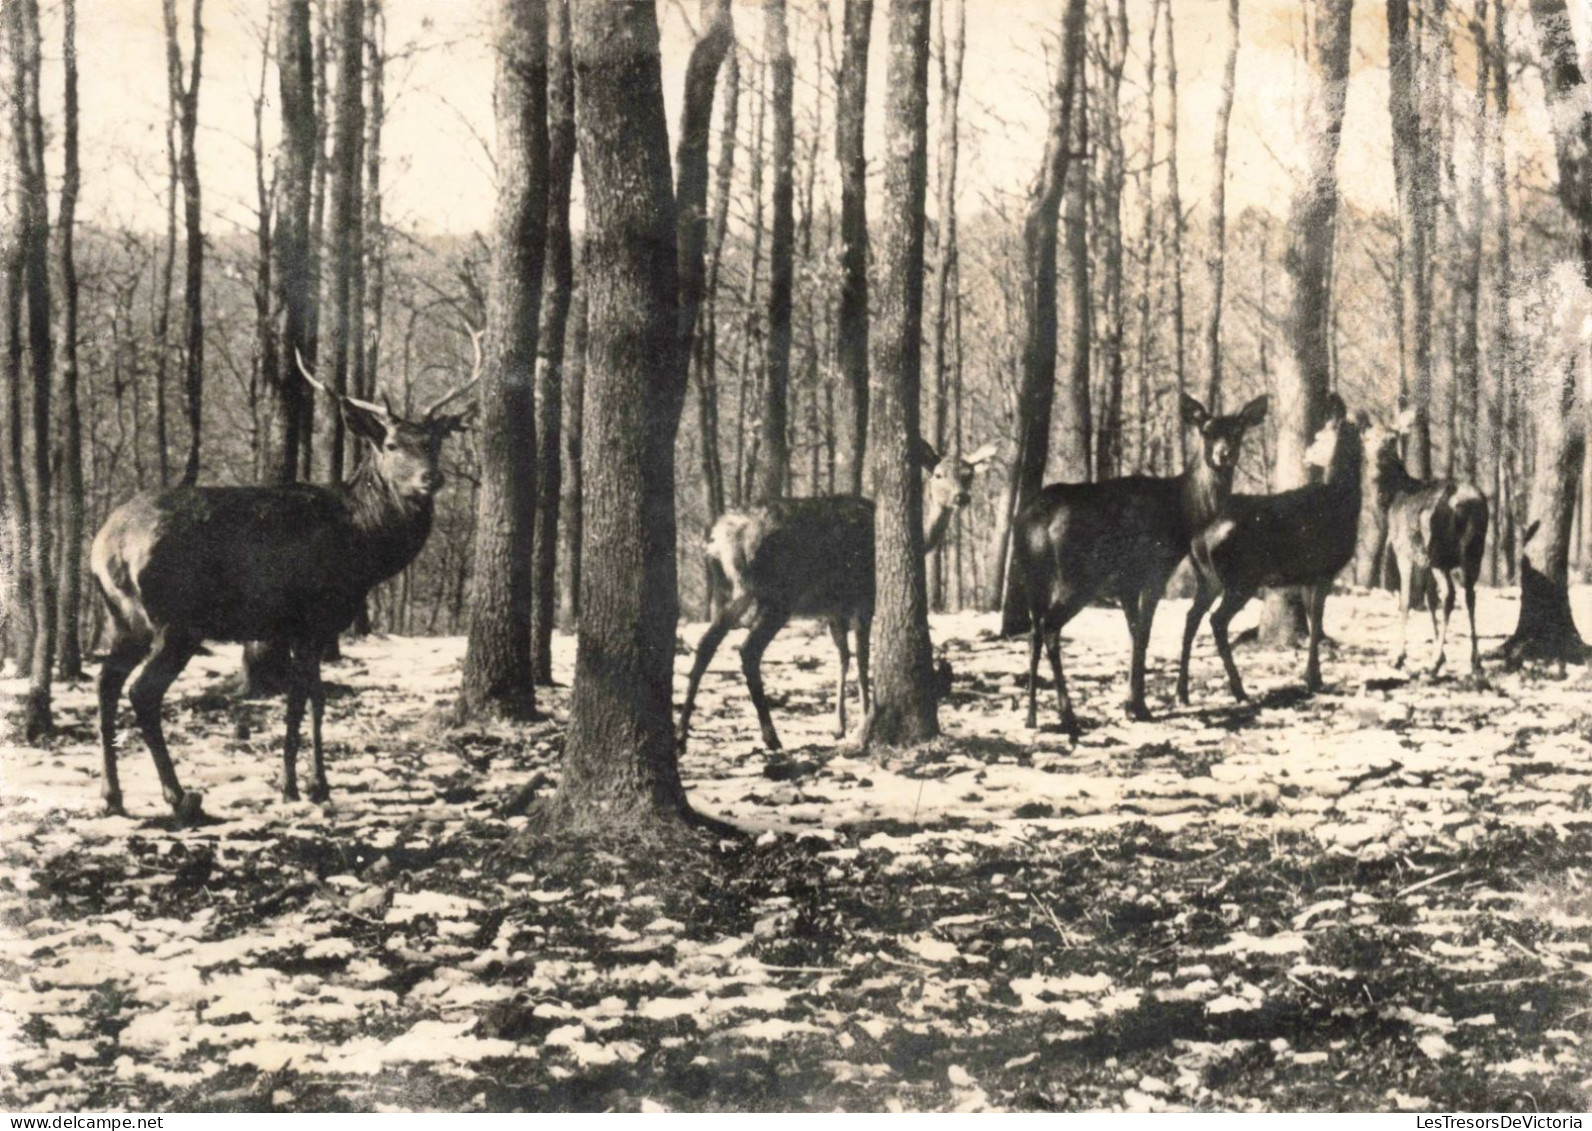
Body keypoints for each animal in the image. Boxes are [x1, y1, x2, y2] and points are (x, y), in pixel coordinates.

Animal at [90, 350, 474, 821]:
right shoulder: (316, 619)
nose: (430, 479)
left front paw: (292, 784)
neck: (363, 549)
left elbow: (298, 699)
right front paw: (313, 786)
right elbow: (313, 699)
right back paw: (179, 796)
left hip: (124, 619)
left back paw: (112, 796)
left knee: (106, 682)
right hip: (178, 621)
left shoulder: (291, 628)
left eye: (435, 442)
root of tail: (107, 546)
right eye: (391, 445)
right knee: (142, 691)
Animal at [675, 439, 993, 751]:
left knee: (707, 642)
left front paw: (839, 725)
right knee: (748, 650)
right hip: (777, 594)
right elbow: (862, 658)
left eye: (969, 474)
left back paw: (681, 735)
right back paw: (771, 736)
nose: (961, 497)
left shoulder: (833, 610)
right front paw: (863, 718)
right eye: (938, 475)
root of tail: (721, 538)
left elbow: (843, 657)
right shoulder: (864, 599)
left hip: (733, 591)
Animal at [1006, 398, 1267, 735]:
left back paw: (1031, 716)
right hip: (1077, 577)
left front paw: (1131, 703)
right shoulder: (1153, 569)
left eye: (1237, 431)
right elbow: (1144, 633)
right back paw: (1068, 715)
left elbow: (1133, 633)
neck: (1182, 512)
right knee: (1050, 627)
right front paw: (1140, 707)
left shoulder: (1127, 582)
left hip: (1031, 576)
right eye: (1206, 431)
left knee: (1034, 632)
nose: (1224, 454)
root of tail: (1032, 521)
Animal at [1178, 395, 1362, 704]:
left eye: (1318, 436)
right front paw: (1314, 679)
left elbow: (1313, 620)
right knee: (1216, 620)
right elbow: (1317, 621)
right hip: (1242, 577)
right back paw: (1239, 689)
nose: (1308, 454)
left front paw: (1313, 676)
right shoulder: (1325, 569)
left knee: (1192, 616)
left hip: (1208, 577)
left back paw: (1182, 692)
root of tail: (1200, 535)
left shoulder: (1308, 574)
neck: (1343, 502)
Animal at [1356, 410, 1490, 678]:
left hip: (1437, 549)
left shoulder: (1405, 550)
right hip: (1473, 551)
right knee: (1469, 594)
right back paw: (1475, 661)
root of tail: (1465, 504)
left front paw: (1399, 656)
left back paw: (1434, 663)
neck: (1393, 498)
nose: (1378, 457)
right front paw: (1443, 652)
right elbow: (1429, 599)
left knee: (1450, 594)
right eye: (1368, 438)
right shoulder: (1424, 559)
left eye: (1392, 439)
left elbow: (1405, 600)